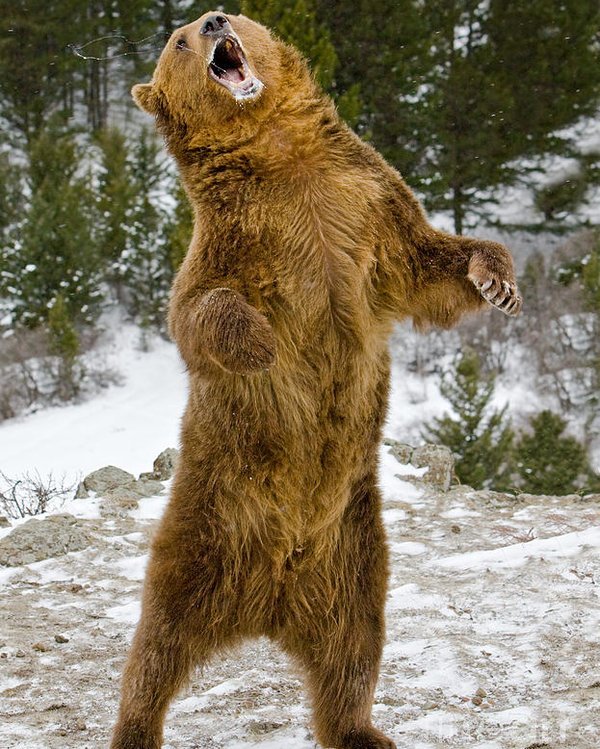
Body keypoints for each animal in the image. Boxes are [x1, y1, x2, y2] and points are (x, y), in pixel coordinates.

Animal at [110, 11, 522, 749]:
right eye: (179, 41)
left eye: (228, 14)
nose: (212, 22)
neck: (279, 154)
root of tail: (269, 597)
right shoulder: (234, 239)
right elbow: (197, 310)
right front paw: (261, 342)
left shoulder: (369, 206)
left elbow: (430, 262)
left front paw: (496, 280)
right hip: (202, 529)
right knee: (157, 643)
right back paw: (135, 725)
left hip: (355, 554)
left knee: (352, 649)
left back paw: (361, 730)